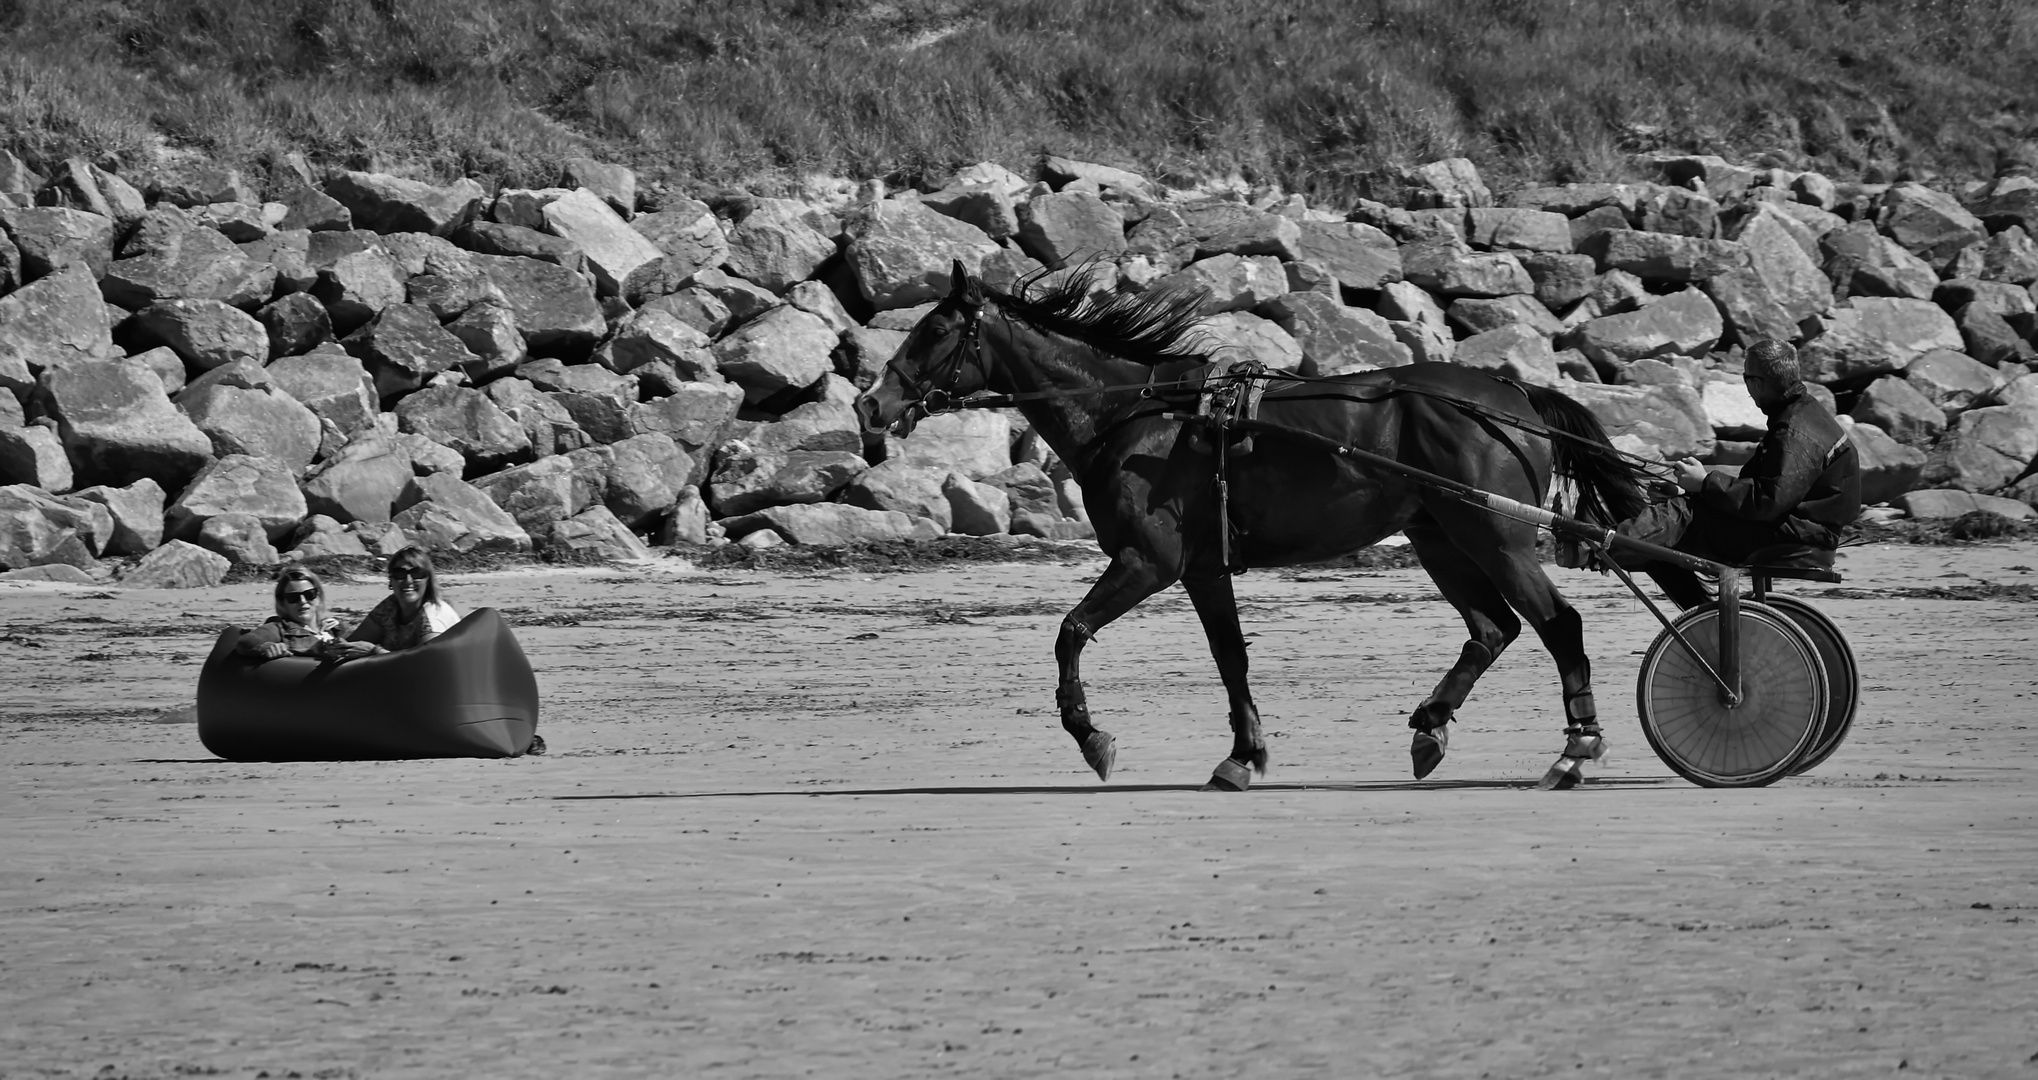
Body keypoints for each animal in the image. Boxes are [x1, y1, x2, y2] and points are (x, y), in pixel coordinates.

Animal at [851, 258, 1646, 782]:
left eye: (933, 332)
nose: (869, 404)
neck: (1141, 417)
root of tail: (1511, 392)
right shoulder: (1202, 568)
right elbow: (1230, 657)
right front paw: (1242, 756)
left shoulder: (1148, 560)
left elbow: (1070, 632)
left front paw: (1089, 735)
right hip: (1439, 535)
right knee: (1493, 628)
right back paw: (1431, 726)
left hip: (1493, 533)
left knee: (1557, 624)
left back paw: (1575, 748)